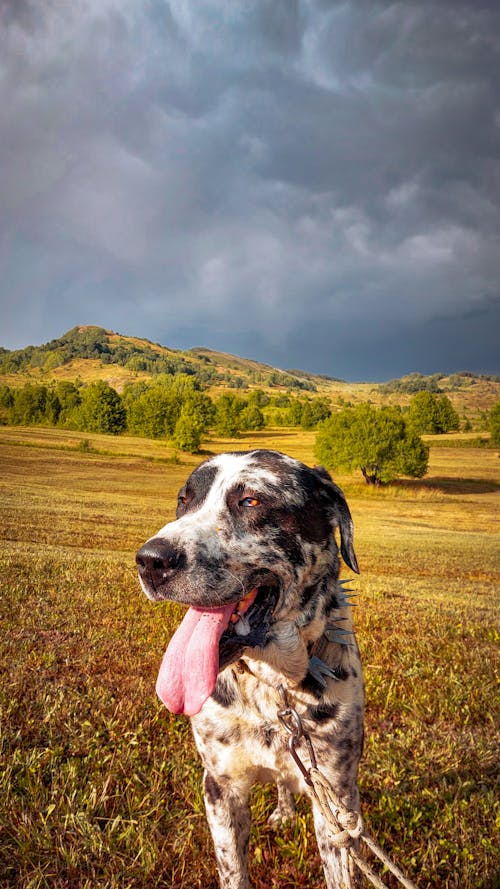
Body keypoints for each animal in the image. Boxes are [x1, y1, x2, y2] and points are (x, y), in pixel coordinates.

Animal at [137, 450, 364, 888]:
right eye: (184, 499)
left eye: (251, 501)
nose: (150, 561)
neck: (273, 689)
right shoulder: (220, 788)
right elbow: (233, 870)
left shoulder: (337, 803)